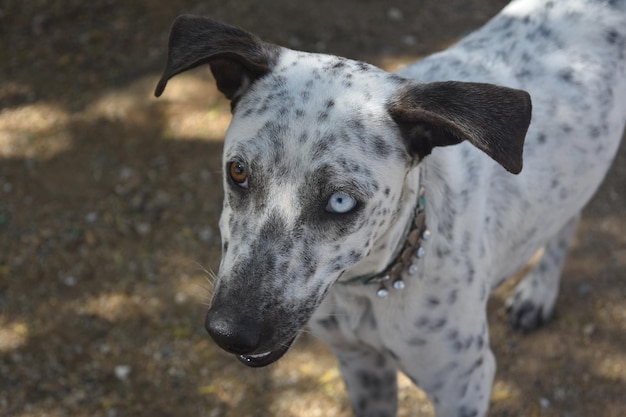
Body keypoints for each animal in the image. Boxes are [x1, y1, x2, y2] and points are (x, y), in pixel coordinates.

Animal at [155, 1, 624, 414]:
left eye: (341, 201)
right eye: (237, 172)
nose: (228, 332)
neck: (368, 287)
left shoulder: (464, 384)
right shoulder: (361, 366)